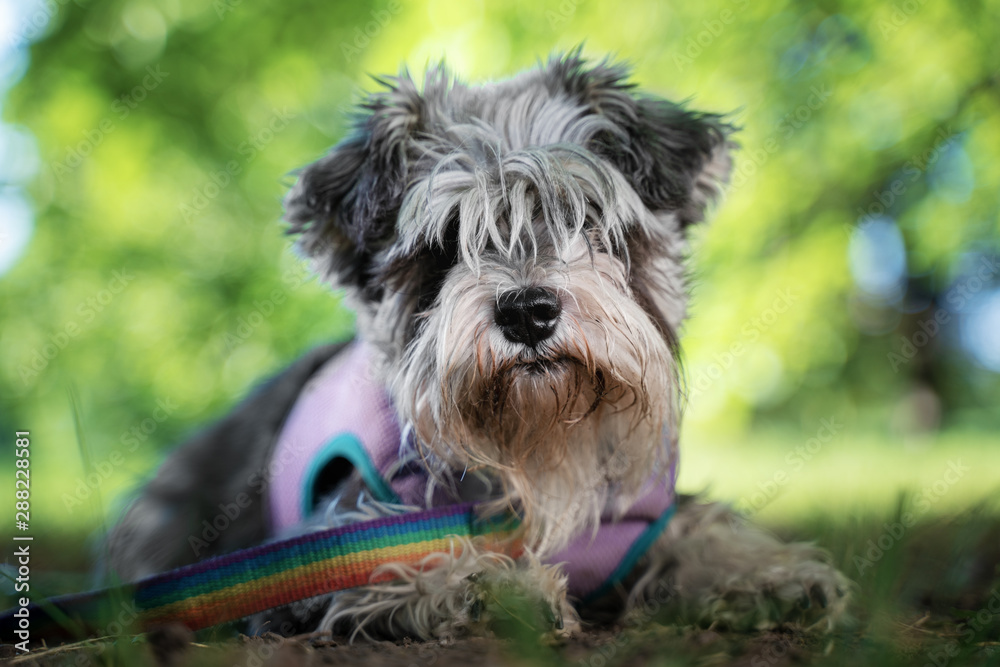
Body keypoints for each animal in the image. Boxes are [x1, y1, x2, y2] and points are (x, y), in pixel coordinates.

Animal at [105, 53, 848, 640]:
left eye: (587, 216)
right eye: (444, 241)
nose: (528, 311)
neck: (538, 453)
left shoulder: (641, 522)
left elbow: (699, 528)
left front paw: (763, 573)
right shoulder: (315, 554)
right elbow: (405, 558)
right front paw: (499, 587)